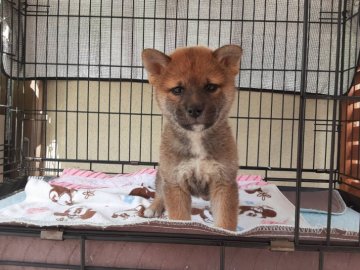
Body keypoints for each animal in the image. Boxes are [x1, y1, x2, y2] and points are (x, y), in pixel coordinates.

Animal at [141, 44, 242, 230]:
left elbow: (225, 220)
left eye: (211, 87)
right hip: (163, 174)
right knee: (159, 192)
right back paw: (154, 207)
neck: (196, 138)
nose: (195, 110)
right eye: (177, 90)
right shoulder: (175, 182)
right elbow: (179, 218)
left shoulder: (223, 181)